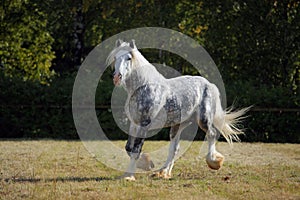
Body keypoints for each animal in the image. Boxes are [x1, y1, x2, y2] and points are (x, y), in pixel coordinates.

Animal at [106, 39, 250, 181]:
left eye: (129, 58)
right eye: (115, 58)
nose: (117, 77)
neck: (145, 87)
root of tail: (209, 84)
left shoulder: (144, 124)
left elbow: (136, 149)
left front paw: (129, 176)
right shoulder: (134, 123)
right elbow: (128, 148)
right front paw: (146, 164)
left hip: (203, 119)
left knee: (211, 134)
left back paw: (214, 162)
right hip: (178, 125)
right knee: (175, 148)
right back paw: (163, 172)